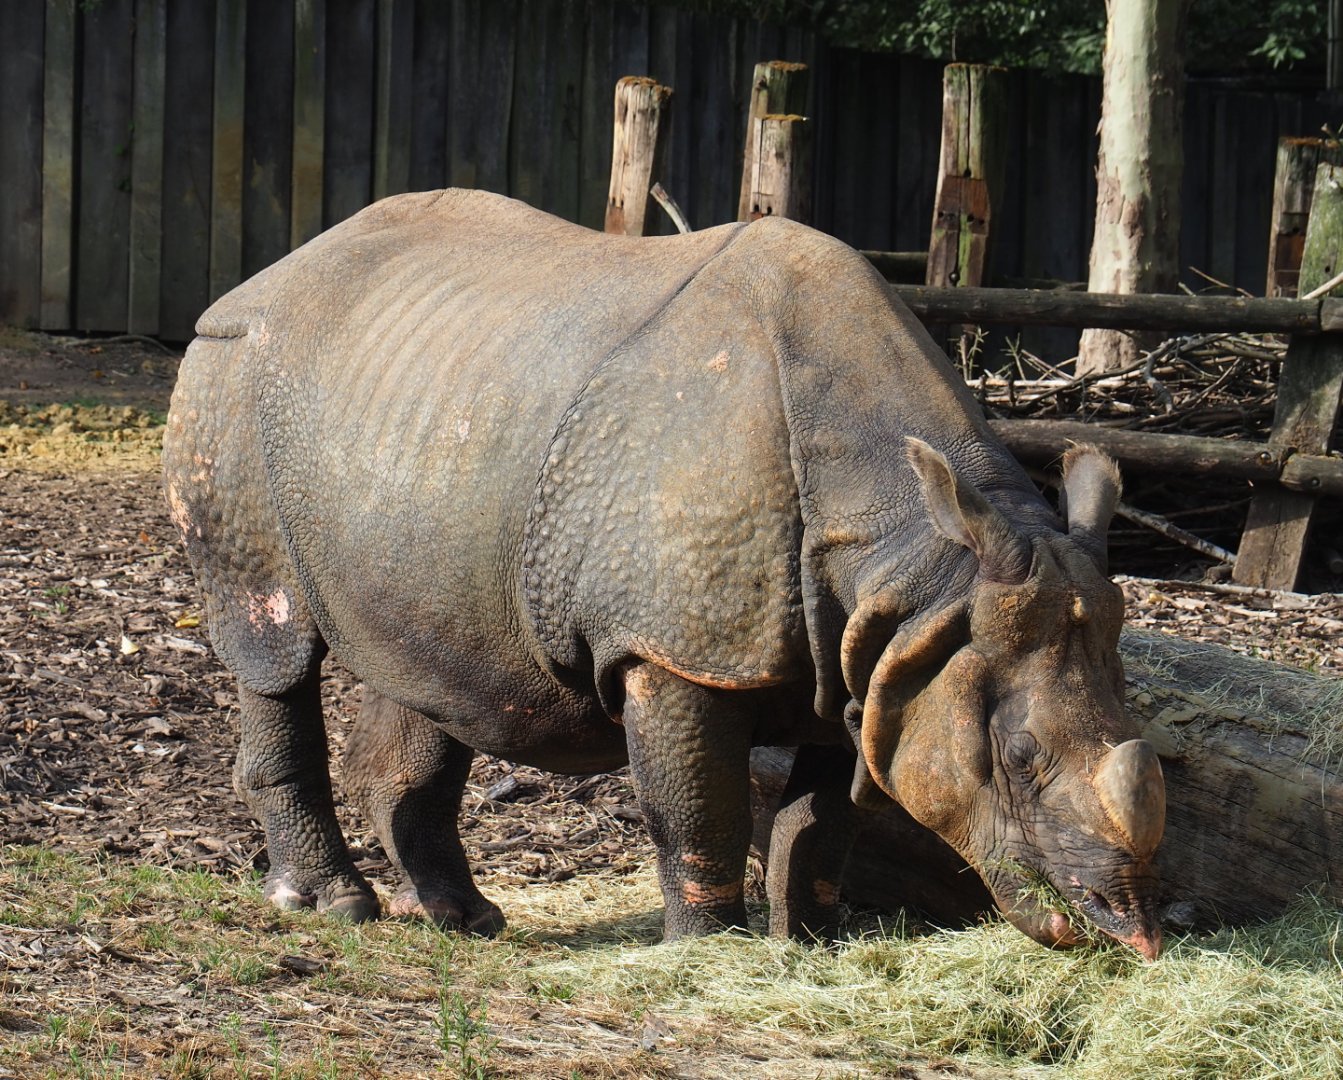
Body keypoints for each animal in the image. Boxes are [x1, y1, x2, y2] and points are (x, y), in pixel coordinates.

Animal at [163, 189, 1164, 959]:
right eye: (1019, 758)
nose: (1124, 934)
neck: (921, 559)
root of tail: (261, 279)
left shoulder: (871, 651)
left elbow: (818, 820)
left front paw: (811, 944)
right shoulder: (676, 650)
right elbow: (698, 804)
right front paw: (710, 949)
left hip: (422, 422)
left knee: (426, 663)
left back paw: (464, 920)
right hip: (231, 377)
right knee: (273, 644)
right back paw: (330, 906)